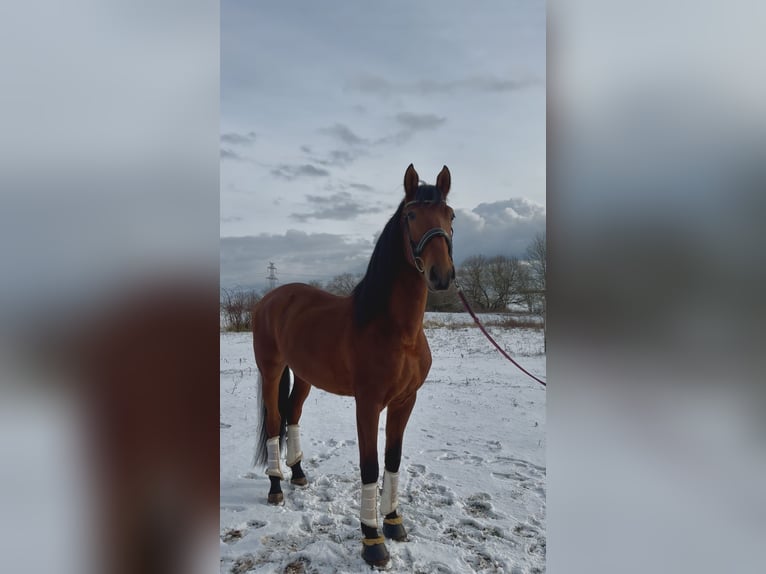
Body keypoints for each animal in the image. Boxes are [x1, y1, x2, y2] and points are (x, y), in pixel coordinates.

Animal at [252, 164, 456, 568]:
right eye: (411, 215)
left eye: (451, 215)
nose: (441, 274)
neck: (396, 329)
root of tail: (271, 298)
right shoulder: (368, 403)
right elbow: (370, 465)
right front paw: (372, 541)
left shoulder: (404, 401)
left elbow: (393, 460)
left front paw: (393, 523)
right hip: (270, 371)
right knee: (274, 420)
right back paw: (276, 486)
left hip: (305, 376)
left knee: (293, 414)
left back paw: (298, 474)